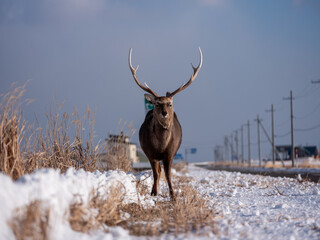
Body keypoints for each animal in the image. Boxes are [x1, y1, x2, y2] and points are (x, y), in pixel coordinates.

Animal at [128, 47, 201, 201]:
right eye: (157, 104)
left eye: (170, 104)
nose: (164, 113)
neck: (161, 145)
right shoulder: (150, 152)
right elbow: (156, 173)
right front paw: (154, 193)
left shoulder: (171, 152)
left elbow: (168, 174)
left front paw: (173, 196)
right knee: (157, 171)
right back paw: (153, 191)